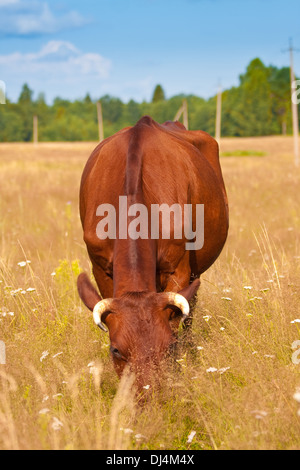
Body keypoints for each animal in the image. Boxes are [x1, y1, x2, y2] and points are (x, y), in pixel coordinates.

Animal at [76, 116, 229, 390]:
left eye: (169, 347)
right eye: (115, 350)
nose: (148, 394)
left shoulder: (178, 268)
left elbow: (176, 319)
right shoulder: (99, 267)